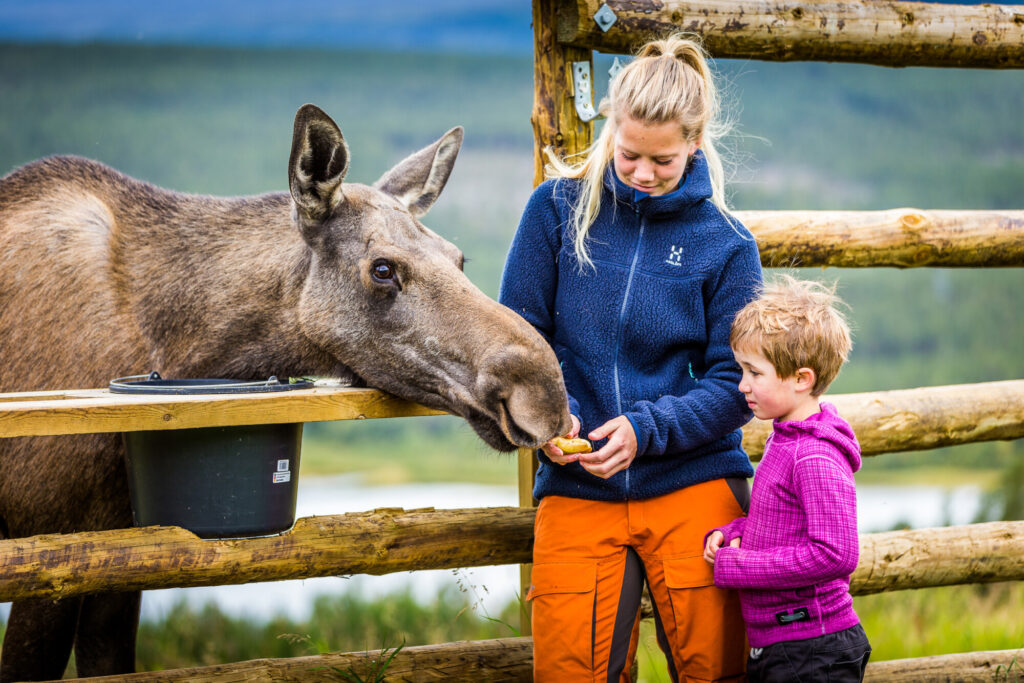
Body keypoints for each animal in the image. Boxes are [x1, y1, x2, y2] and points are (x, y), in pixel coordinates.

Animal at [0, 104, 569, 679]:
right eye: (383, 269)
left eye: (458, 258)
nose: (543, 391)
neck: (182, 348)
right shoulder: (50, 550)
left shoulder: (119, 550)